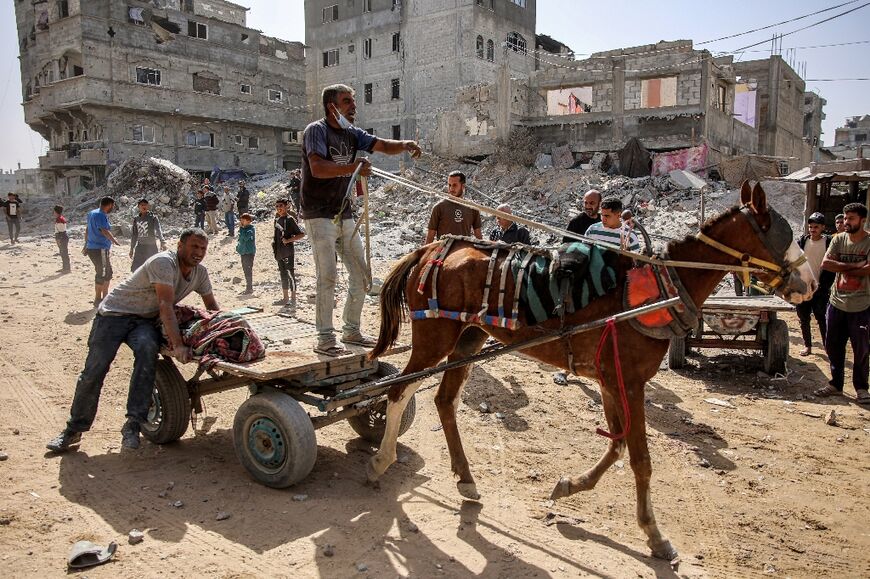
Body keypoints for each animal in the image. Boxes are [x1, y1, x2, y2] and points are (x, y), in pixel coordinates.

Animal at [364, 182, 816, 560]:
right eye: (776, 231)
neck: (660, 289)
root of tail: (431, 249)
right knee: (398, 390)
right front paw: (654, 535)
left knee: (444, 400)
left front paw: (568, 487)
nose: (809, 283)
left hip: (468, 339)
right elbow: (640, 459)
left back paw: (465, 480)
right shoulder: (629, 382)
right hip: (434, 338)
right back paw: (382, 460)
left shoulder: (611, 380)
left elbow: (617, 447)